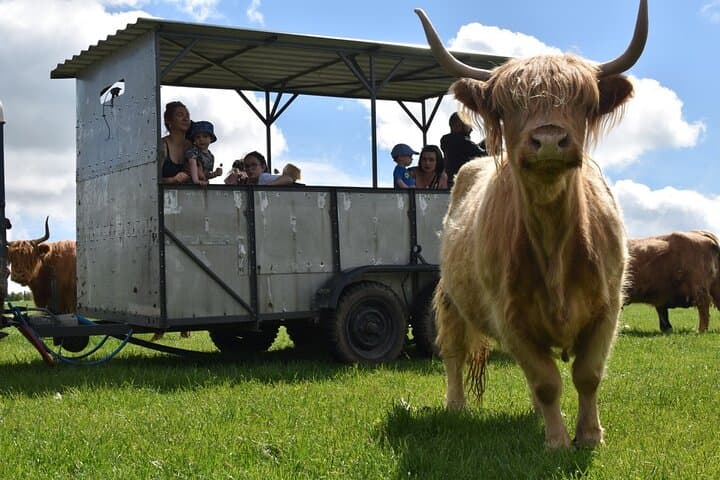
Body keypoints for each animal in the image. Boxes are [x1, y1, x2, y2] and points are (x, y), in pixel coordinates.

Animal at [416, 0, 647, 448]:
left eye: (583, 104)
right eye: (506, 108)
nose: (550, 141)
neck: (556, 243)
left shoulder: (607, 308)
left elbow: (587, 376)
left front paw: (589, 436)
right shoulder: (511, 317)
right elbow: (546, 381)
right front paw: (557, 442)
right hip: (449, 297)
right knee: (452, 351)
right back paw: (456, 406)